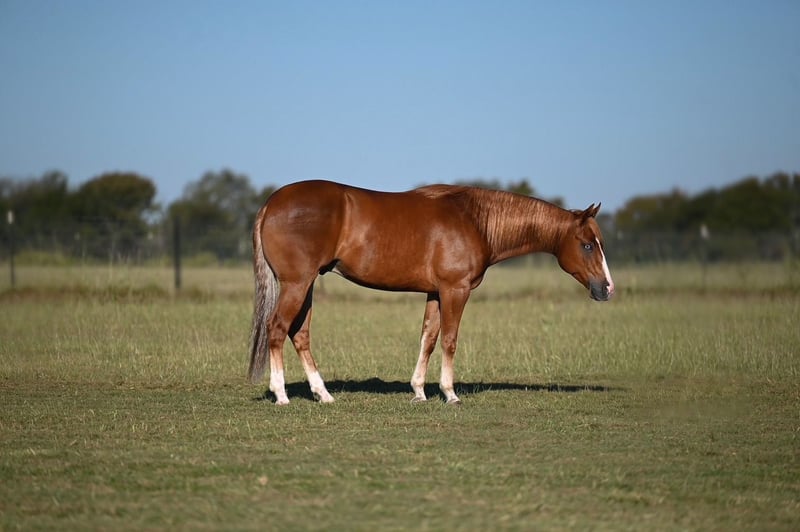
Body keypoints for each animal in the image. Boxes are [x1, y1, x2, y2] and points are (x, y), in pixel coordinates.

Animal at [248, 180, 614, 405]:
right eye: (587, 245)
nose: (607, 288)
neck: (475, 220)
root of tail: (271, 204)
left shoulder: (436, 293)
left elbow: (428, 338)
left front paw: (419, 391)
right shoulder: (456, 289)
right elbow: (450, 339)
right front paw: (450, 393)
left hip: (306, 285)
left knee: (299, 334)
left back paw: (323, 394)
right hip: (297, 284)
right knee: (277, 329)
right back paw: (281, 394)